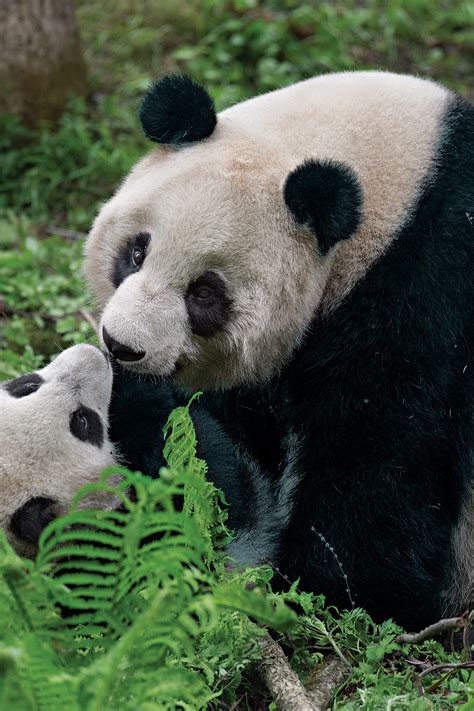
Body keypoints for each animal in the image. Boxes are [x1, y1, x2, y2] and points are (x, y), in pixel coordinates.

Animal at [83, 71, 472, 628]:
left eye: (205, 293)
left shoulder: (426, 293)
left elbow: (383, 457)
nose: (121, 345)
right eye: (136, 252)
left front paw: (329, 588)